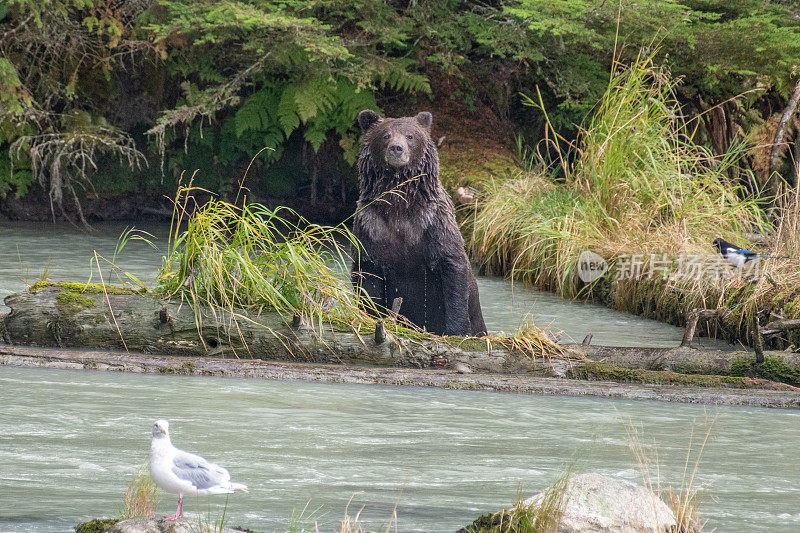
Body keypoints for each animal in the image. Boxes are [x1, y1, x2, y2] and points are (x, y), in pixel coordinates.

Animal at [352, 108, 488, 336]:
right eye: (385, 135)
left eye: (410, 136)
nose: (396, 149)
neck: (400, 206)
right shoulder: (371, 227)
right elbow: (368, 277)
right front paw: (369, 315)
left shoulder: (432, 224)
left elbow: (452, 272)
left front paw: (457, 330)